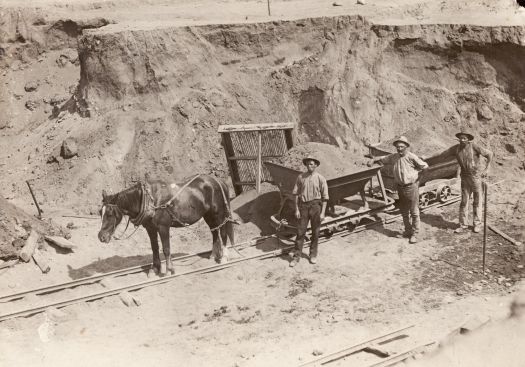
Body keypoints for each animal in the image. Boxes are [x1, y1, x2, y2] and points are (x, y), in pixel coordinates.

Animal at [96, 175, 235, 276]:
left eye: (109, 213)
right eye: (100, 212)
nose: (101, 237)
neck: (150, 200)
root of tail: (219, 181)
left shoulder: (163, 227)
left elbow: (166, 249)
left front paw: (169, 270)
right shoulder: (150, 228)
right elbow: (155, 248)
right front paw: (155, 269)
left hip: (219, 214)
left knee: (223, 233)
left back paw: (224, 258)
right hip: (208, 215)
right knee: (214, 231)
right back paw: (213, 255)